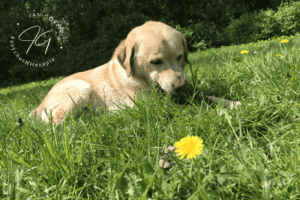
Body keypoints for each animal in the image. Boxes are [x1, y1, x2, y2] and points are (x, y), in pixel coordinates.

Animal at [29, 21, 189, 127]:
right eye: (155, 61)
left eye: (180, 56)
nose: (181, 87)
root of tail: (39, 105)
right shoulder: (147, 105)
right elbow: (178, 107)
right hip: (80, 89)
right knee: (57, 125)